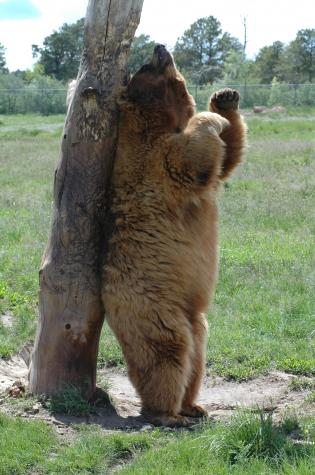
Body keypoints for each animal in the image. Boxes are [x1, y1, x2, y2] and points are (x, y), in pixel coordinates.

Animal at [102, 44, 248, 428]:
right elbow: (193, 155)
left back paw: (193, 406)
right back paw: (168, 414)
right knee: (166, 355)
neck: (162, 121)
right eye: (145, 65)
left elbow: (226, 158)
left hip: (196, 322)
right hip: (151, 309)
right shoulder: (154, 157)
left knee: (197, 357)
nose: (160, 47)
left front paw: (225, 99)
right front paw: (212, 119)